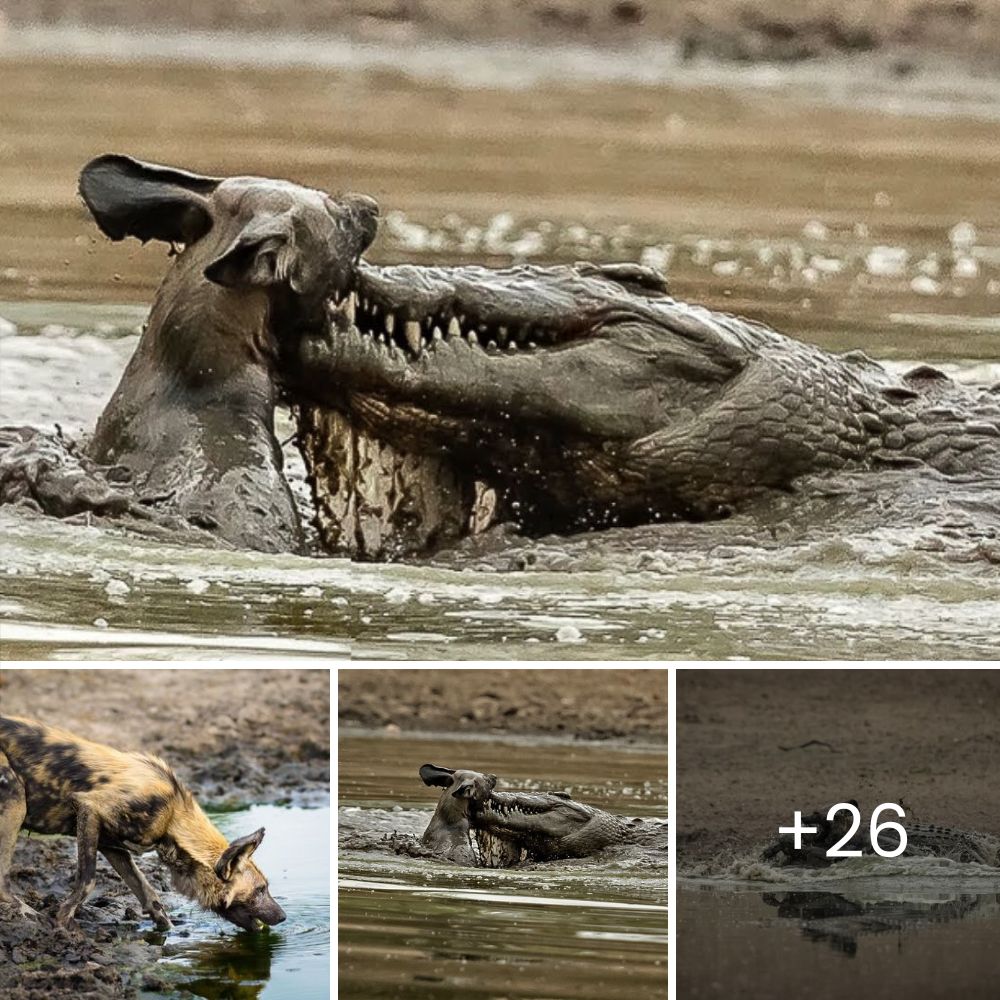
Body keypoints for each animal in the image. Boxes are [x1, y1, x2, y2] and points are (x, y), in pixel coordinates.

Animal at [0, 716, 290, 932]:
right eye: (260, 890)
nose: (283, 916)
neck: (173, 817)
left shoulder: (110, 843)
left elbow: (148, 893)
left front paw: (167, 930)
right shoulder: (90, 810)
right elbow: (88, 880)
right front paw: (62, 924)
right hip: (15, 799)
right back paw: (26, 913)